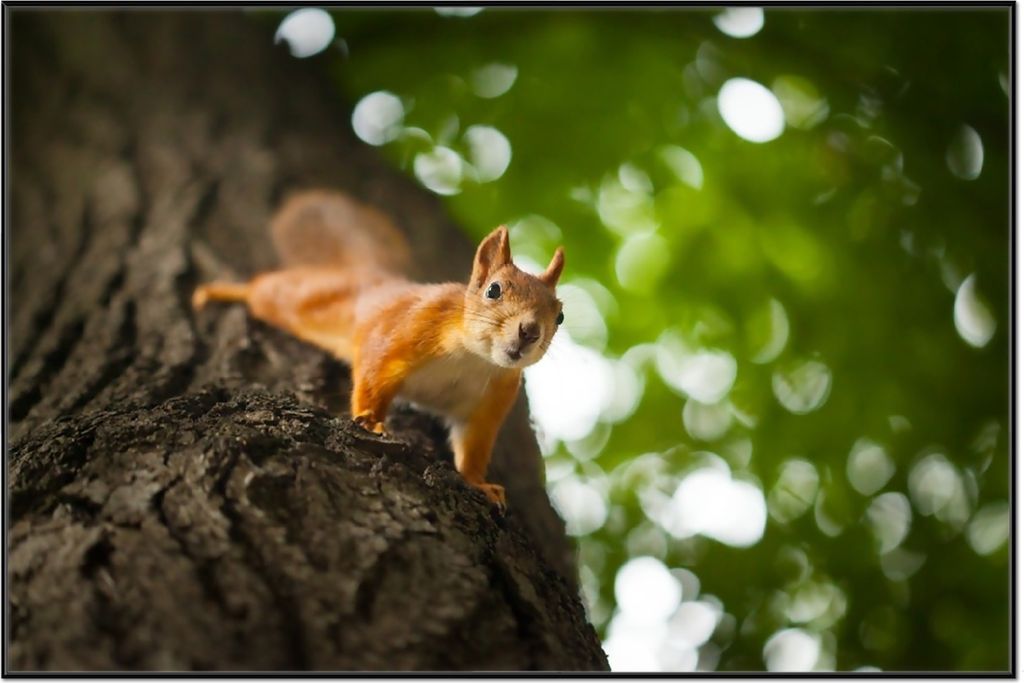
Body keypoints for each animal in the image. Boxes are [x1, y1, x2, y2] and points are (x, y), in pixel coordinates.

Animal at [192, 190, 565, 508]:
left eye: (560, 316)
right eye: (493, 290)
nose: (530, 331)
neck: (473, 359)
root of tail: (369, 276)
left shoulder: (488, 404)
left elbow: (472, 448)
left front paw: (479, 483)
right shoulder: (398, 334)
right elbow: (373, 377)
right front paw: (371, 423)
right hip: (295, 298)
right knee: (261, 290)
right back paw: (219, 291)